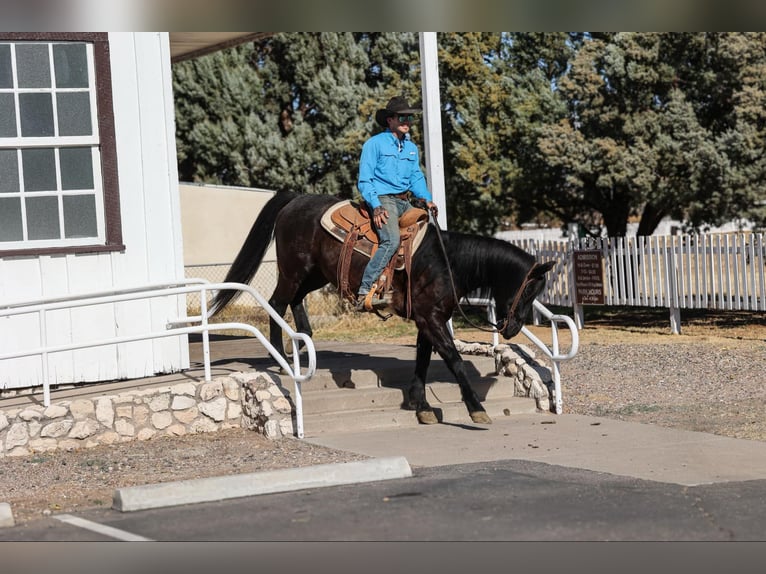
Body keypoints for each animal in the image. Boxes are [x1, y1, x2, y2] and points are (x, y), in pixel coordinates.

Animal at [209, 191, 554, 425]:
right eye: (528, 290)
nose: (513, 328)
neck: (446, 262)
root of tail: (296, 200)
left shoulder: (427, 320)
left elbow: (422, 361)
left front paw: (421, 406)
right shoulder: (431, 320)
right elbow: (454, 360)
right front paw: (476, 408)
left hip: (316, 274)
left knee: (294, 301)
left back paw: (303, 339)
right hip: (294, 271)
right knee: (277, 303)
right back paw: (280, 358)